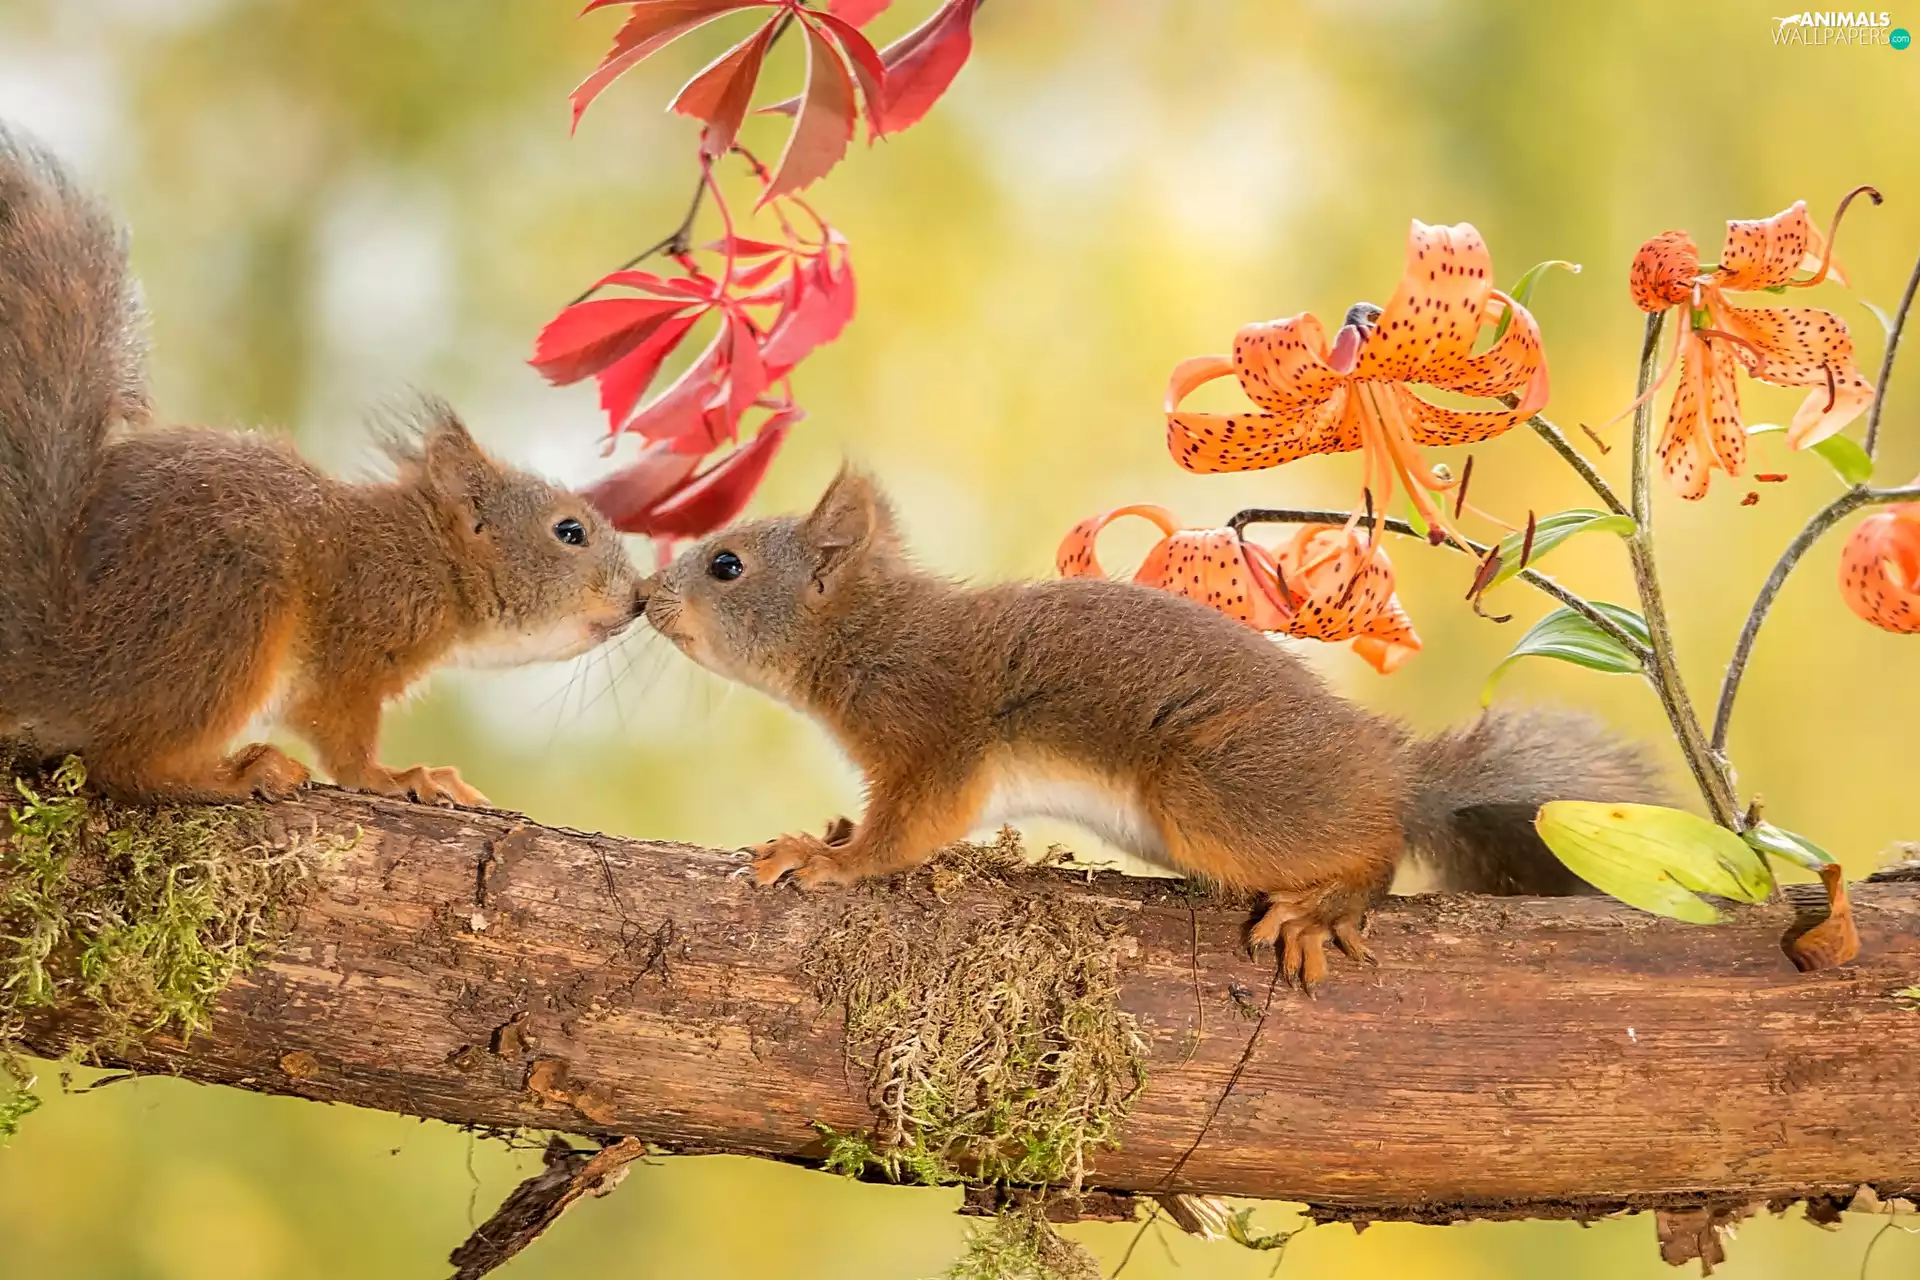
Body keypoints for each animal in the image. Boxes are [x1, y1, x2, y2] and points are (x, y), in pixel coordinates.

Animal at [0, 126, 646, 805]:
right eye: (569, 531)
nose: (639, 598)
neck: (428, 557)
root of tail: (57, 659)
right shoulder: (357, 645)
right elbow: (338, 732)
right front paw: (398, 777)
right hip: (232, 612)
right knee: (123, 763)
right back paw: (240, 773)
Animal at [642, 468, 1666, 987]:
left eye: (726, 565)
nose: (646, 598)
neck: (868, 635)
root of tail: (1393, 772)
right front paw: (832, 829)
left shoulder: (935, 732)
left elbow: (909, 831)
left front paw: (828, 860)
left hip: (1212, 792)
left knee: (1372, 850)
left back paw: (1327, 904)